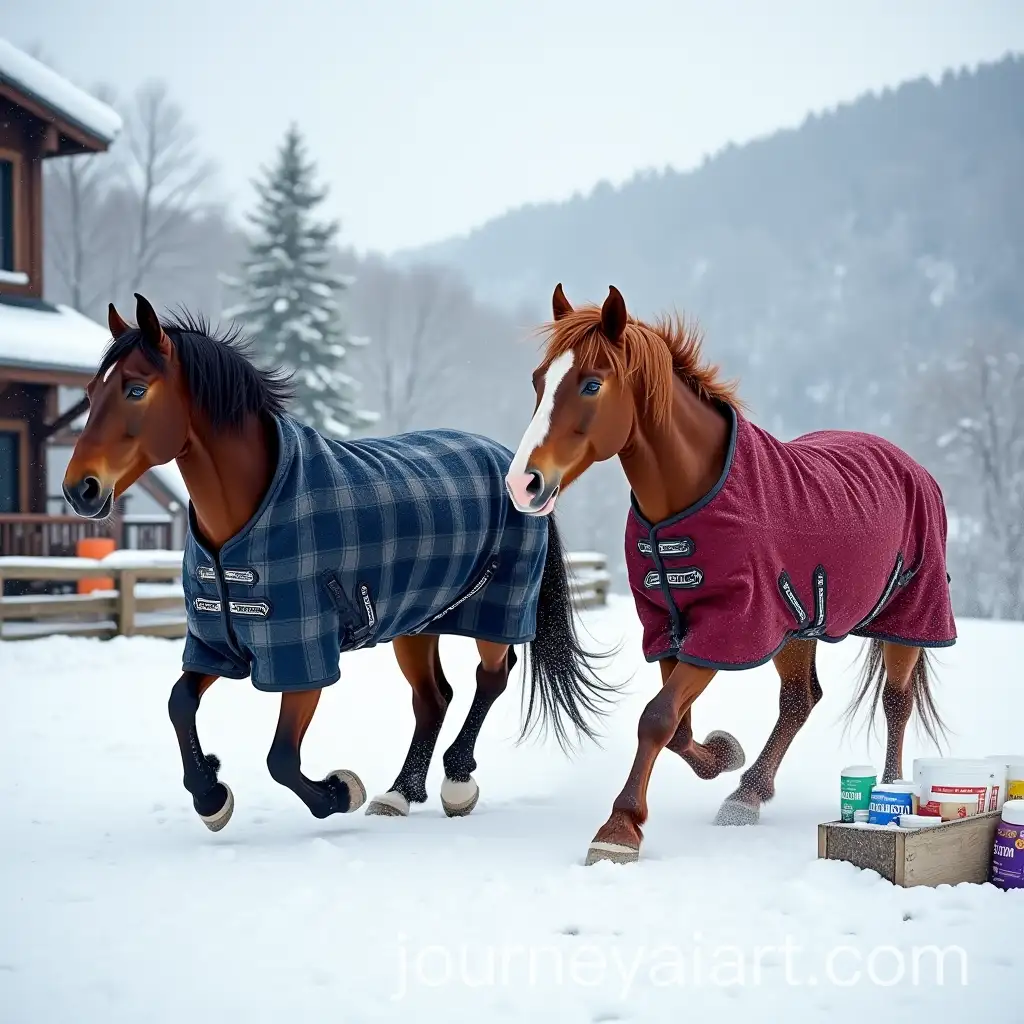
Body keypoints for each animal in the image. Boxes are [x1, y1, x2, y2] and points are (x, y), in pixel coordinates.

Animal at [62, 292, 617, 832]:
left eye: (136, 390)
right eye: (90, 392)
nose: (79, 490)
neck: (246, 521)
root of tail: (513, 467)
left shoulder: (304, 660)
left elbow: (282, 759)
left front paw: (339, 791)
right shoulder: (215, 644)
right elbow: (180, 704)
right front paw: (211, 793)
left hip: (497, 611)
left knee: (491, 679)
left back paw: (456, 783)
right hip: (416, 623)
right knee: (434, 698)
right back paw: (399, 793)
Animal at [504, 283, 956, 866]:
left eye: (591, 383)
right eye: (539, 380)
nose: (523, 484)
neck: (688, 501)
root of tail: (910, 464)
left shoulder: (727, 628)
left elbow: (656, 718)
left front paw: (619, 828)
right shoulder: (670, 627)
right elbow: (675, 727)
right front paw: (722, 755)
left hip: (908, 617)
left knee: (895, 703)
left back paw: (888, 791)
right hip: (797, 626)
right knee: (799, 701)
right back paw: (749, 793)